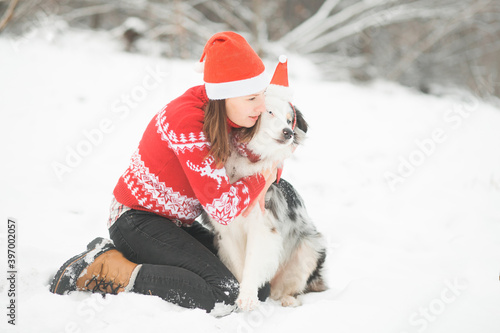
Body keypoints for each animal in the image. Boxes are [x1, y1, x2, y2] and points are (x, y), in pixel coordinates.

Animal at [201, 82, 326, 308]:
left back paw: (288, 299)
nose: (288, 132)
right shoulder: (226, 231)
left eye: (289, 119)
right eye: (269, 112)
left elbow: (252, 263)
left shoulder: (263, 226)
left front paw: (248, 298)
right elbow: (239, 266)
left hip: (309, 249)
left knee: (289, 287)